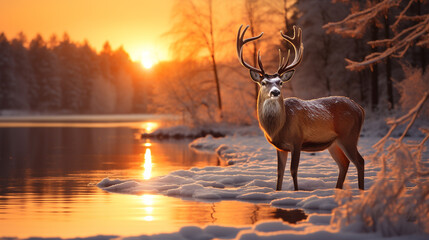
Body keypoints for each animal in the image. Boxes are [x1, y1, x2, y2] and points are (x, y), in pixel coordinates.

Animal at [236, 24, 362, 191]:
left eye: (280, 82)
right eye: (263, 82)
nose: (275, 92)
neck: (279, 127)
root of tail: (359, 108)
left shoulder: (297, 140)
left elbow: (293, 170)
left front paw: (296, 191)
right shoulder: (280, 147)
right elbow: (279, 172)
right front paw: (278, 191)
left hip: (349, 135)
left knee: (359, 162)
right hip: (334, 143)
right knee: (344, 163)